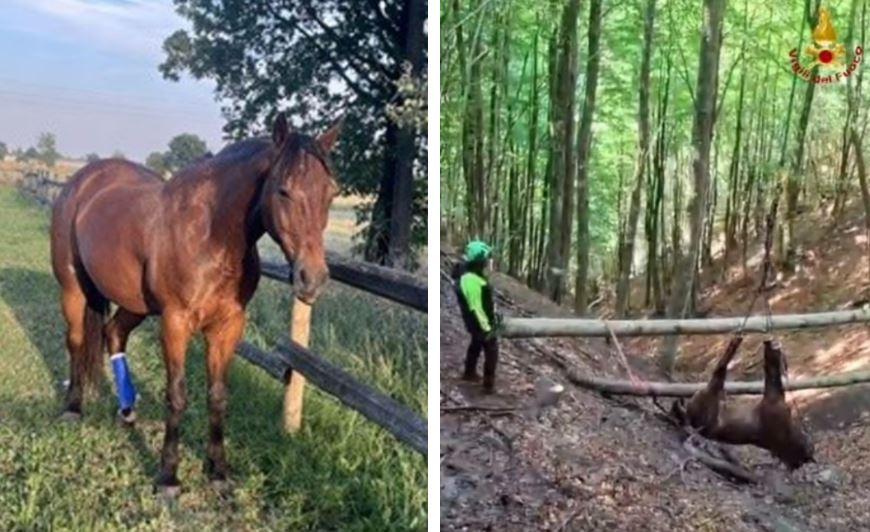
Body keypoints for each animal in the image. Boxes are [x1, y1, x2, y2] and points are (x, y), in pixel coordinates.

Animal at [50, 113, 340, 494]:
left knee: (113, 334)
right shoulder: (175, 322)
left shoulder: (228, 325)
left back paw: (127, 411)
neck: (211, 233)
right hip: (73, 287)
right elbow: (177, 395)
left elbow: (217, 395)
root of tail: (82, 180)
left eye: (331, 193)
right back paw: (73, 408)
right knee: (76, 341)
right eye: (284, 190)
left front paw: (218, 472)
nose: (313, 279)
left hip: (135, 303)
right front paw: (168, 478)